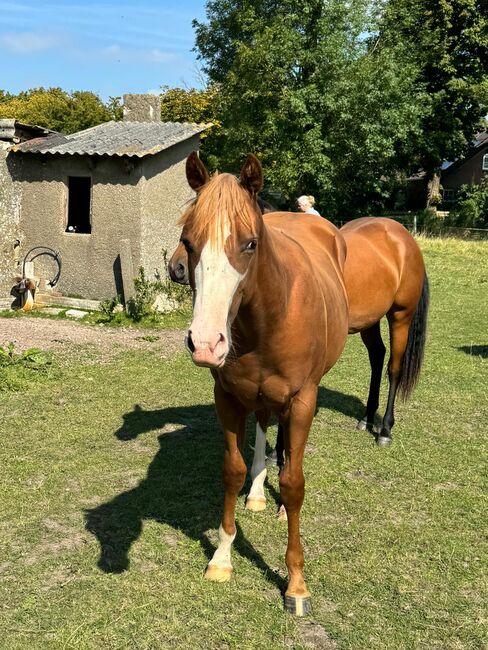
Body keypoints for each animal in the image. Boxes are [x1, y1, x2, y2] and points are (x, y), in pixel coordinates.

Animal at [177, 151, 348, 612]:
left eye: (250, 243)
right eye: (188, 242)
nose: (205, 343)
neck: (269, 317)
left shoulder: (302, 399)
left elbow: (294, 484)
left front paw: (296, 582)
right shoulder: (227, 397)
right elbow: (232, 470)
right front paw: (221, 556)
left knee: (287, 447)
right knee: (264, 430)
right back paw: (257, 492)